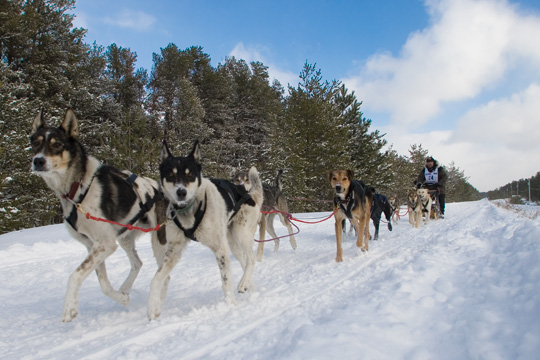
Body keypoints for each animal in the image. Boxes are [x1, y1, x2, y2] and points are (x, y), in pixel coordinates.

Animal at [29, 108, 165, 322]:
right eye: (35, 142)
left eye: (57, 144)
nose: (38, 161)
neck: (77, 187)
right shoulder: (94, 245)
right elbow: (103, 283)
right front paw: (121, 298)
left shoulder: (105, 244)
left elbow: (75, 275)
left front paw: (69, 308)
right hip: (125, 237)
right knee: (137, 263)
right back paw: (125, 288)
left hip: (158, 240)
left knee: (163, 272)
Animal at [146, 141, 264, 320]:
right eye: (171, 175)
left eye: (190, 175)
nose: (181, 192)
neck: (191, 210)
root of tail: (249, 194)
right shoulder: (174, 250)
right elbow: (156, 279)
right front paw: (153, 308)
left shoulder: (220, 249)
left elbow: (226, 281)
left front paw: (231, 306)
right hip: (232, 244)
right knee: (245, 262)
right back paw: (249, 286)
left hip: (240, 235)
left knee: (251, 259)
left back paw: (243, 284)